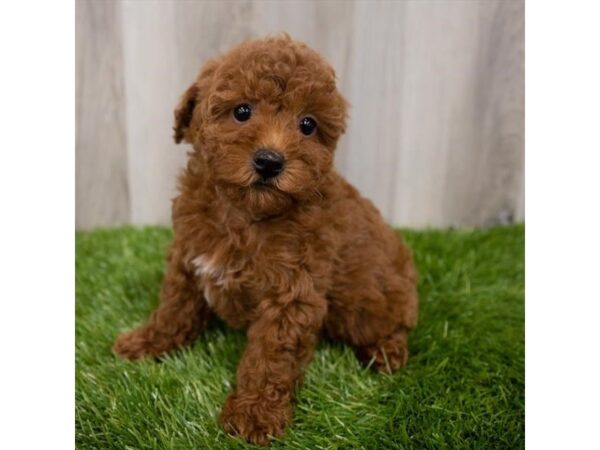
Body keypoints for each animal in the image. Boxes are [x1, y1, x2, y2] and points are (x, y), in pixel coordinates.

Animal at [115, 35, 420, 446]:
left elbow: (270, 356)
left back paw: (386, 353)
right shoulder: (187, 257)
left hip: (373, 303)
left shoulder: (292, 292)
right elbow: (173, 308)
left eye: (307, 124)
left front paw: (254, 415)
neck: (242, 213)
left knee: (391, 325)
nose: (270, 161)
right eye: (242, 111)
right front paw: (147, 342)